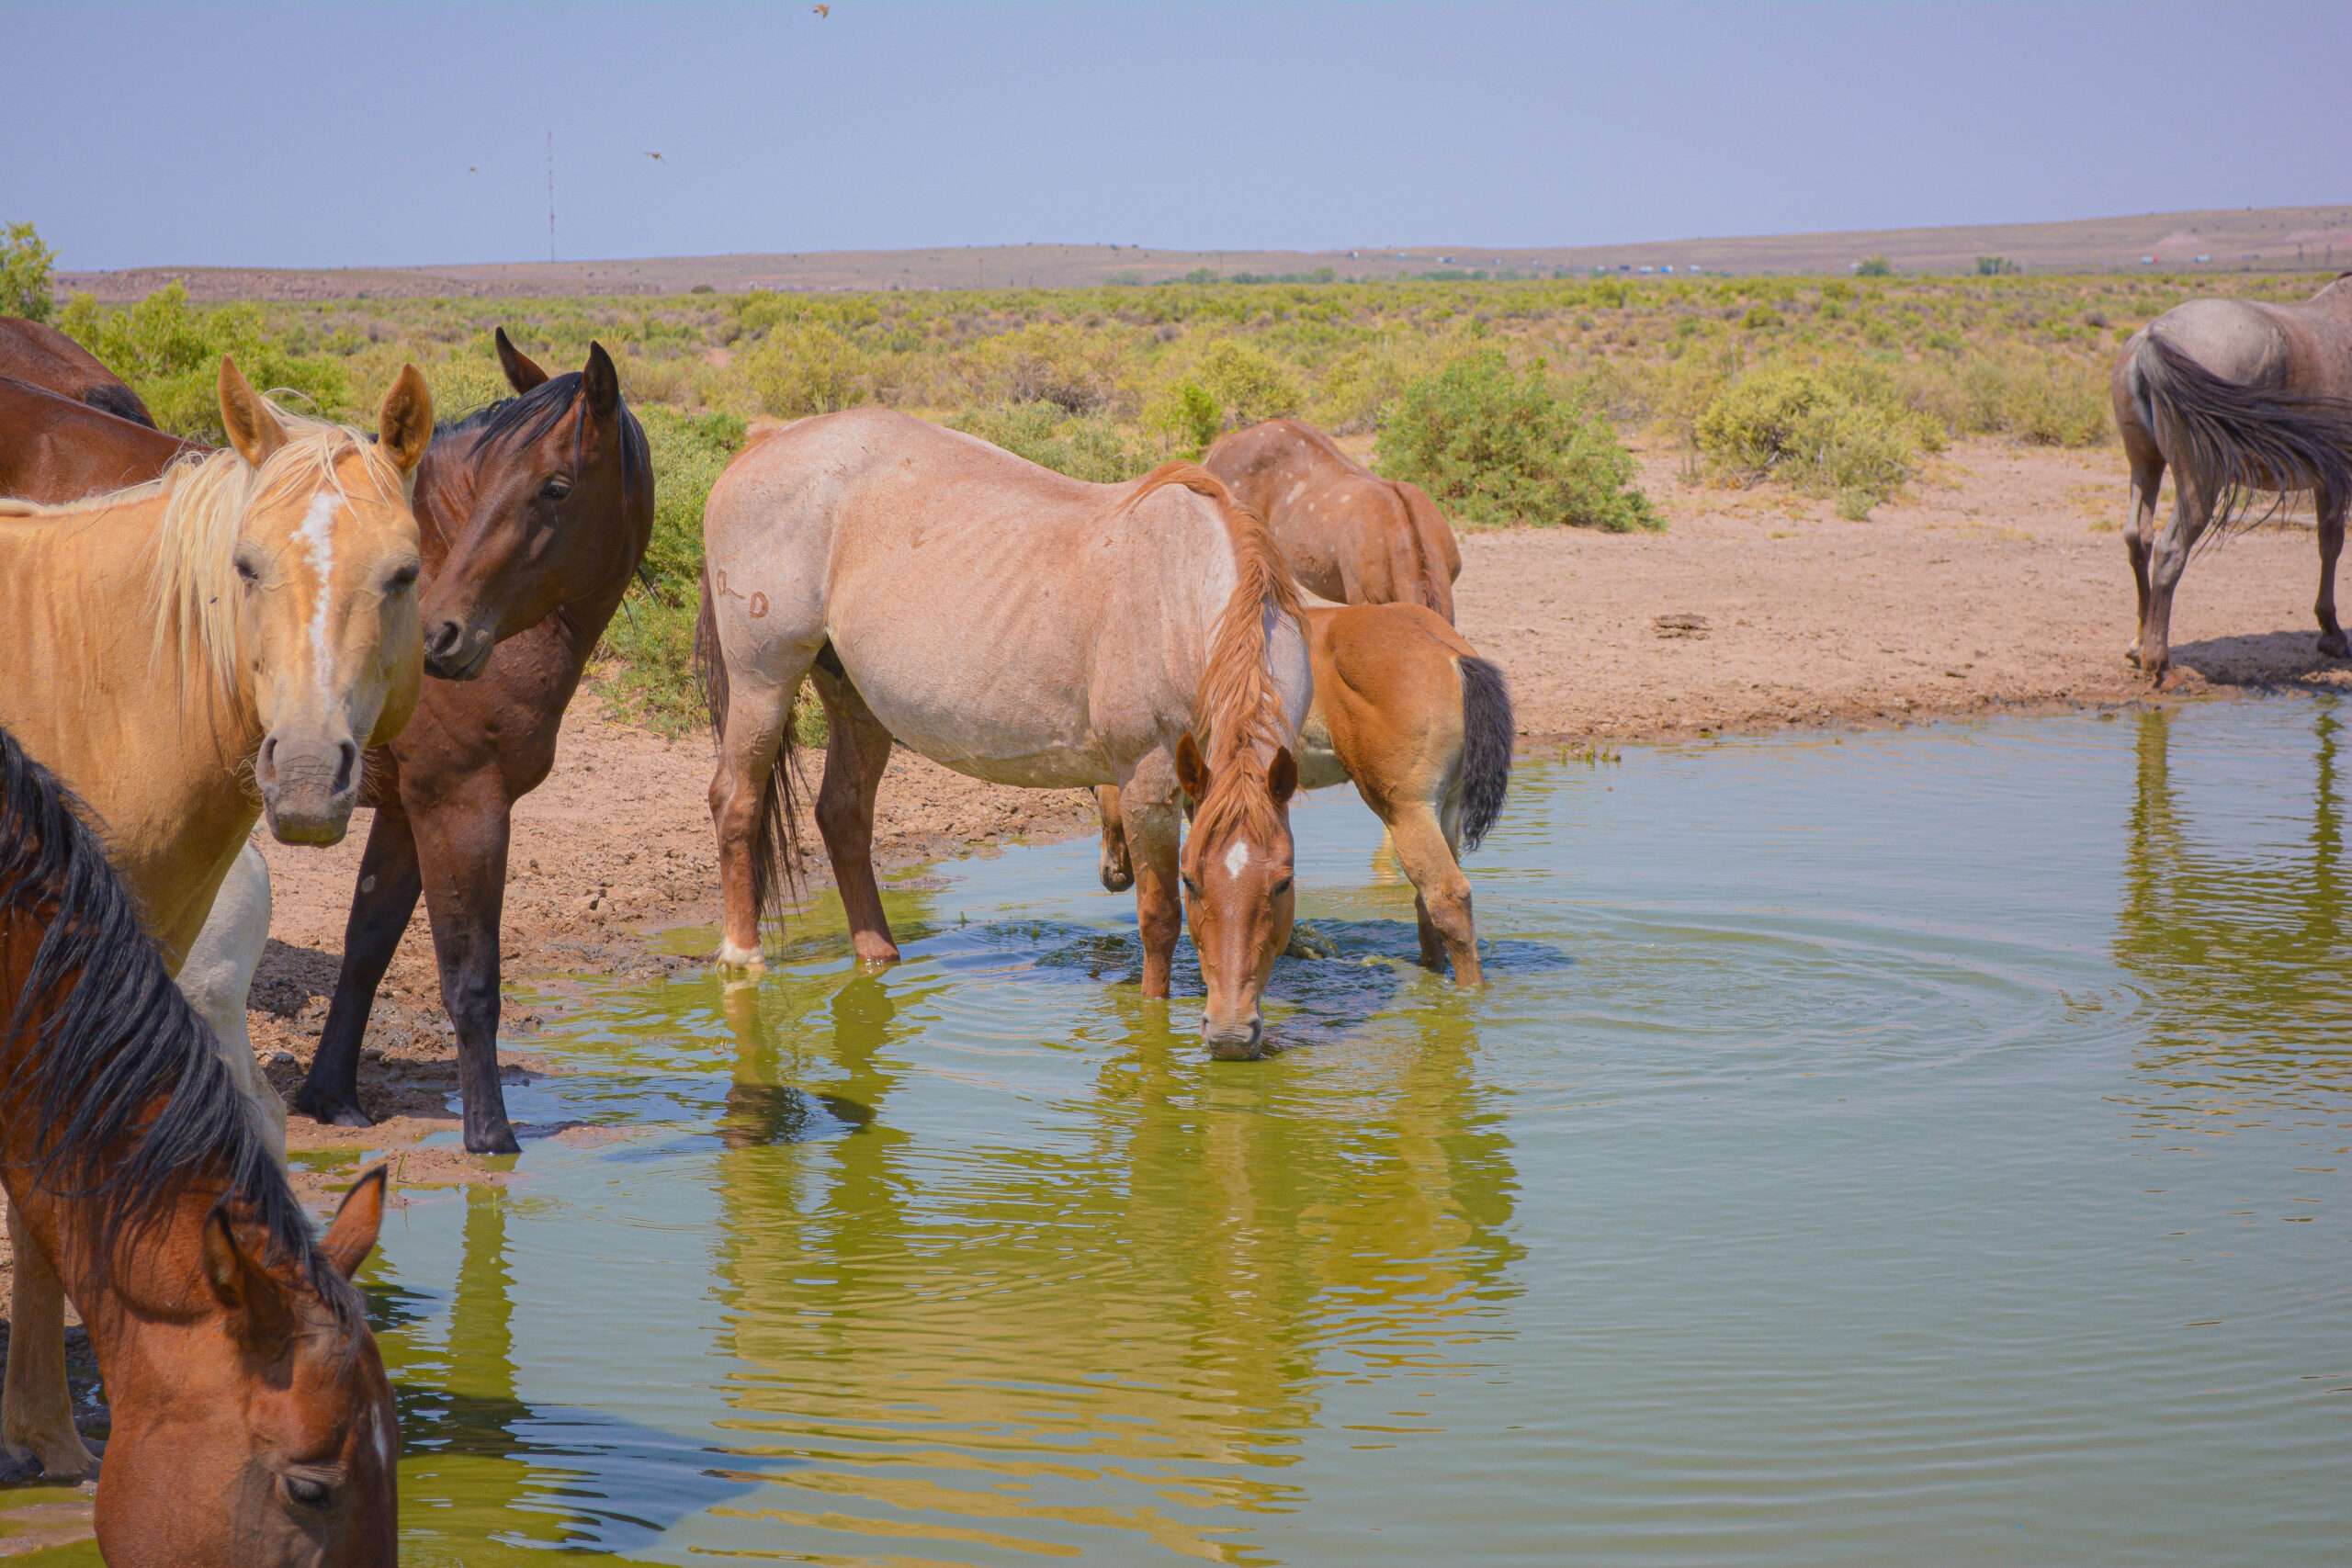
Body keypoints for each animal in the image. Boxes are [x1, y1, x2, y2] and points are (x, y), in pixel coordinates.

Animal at [293, 332, 654, 1153]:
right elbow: (472, 980)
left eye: (556, 487)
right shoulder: (462, 805)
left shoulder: (406, 811)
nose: (441, 636)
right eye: (484, 481)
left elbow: (366, 949)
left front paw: (330, 1097)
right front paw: (491, 1137)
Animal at [698, 408, 1311, 1058]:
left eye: (1283, 883)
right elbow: (1159, 920)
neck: (1187, 599)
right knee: (736, 801)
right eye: (1193, 881)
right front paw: (1153, 1026)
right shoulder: (1148, 784)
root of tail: (766, 441)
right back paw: (743, 958)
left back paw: (880, 958)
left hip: (853, 699)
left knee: (843, 817)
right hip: (764, 681)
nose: (1231, 1035)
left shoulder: (1203, 784)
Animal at [1098, 596, 1513, 982]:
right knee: (1427, 908)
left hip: (1406, 812)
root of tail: (1449, 653)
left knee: (1447, 898)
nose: (1112, 874)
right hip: (1444, 811)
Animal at [2111, 275, 2352, 679]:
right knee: (2169, 549)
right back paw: (2160, 663)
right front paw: (2333, 635)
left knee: (2138, 538)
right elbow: (2332, 545)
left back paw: (2139, 643)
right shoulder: (2336, 479)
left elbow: (2328, 544)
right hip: (2200, 482)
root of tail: (2153, 336)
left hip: (2144, 463)